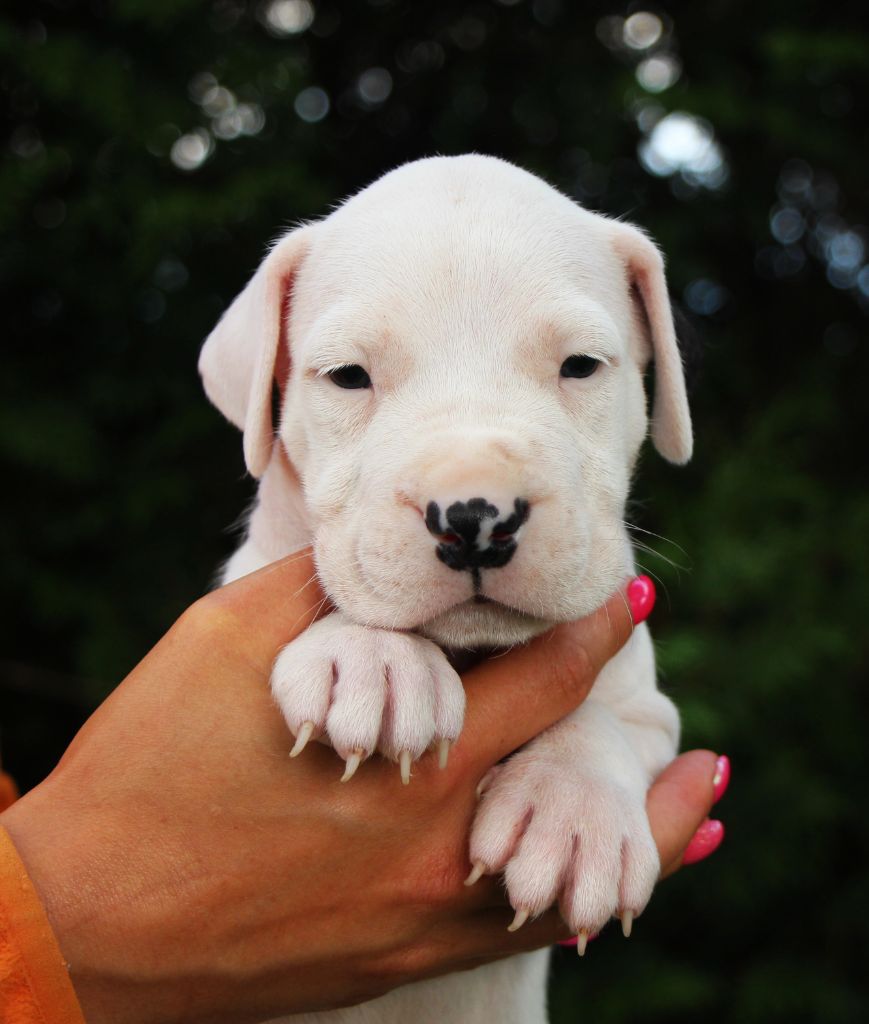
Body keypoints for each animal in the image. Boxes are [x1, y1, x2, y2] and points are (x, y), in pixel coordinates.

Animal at [199, 154, 691, 1024]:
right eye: (347, 377)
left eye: (580, 366)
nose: (474, 518)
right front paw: (368, 657)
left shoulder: (648, 712)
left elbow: (603, 718)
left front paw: (572, 809)